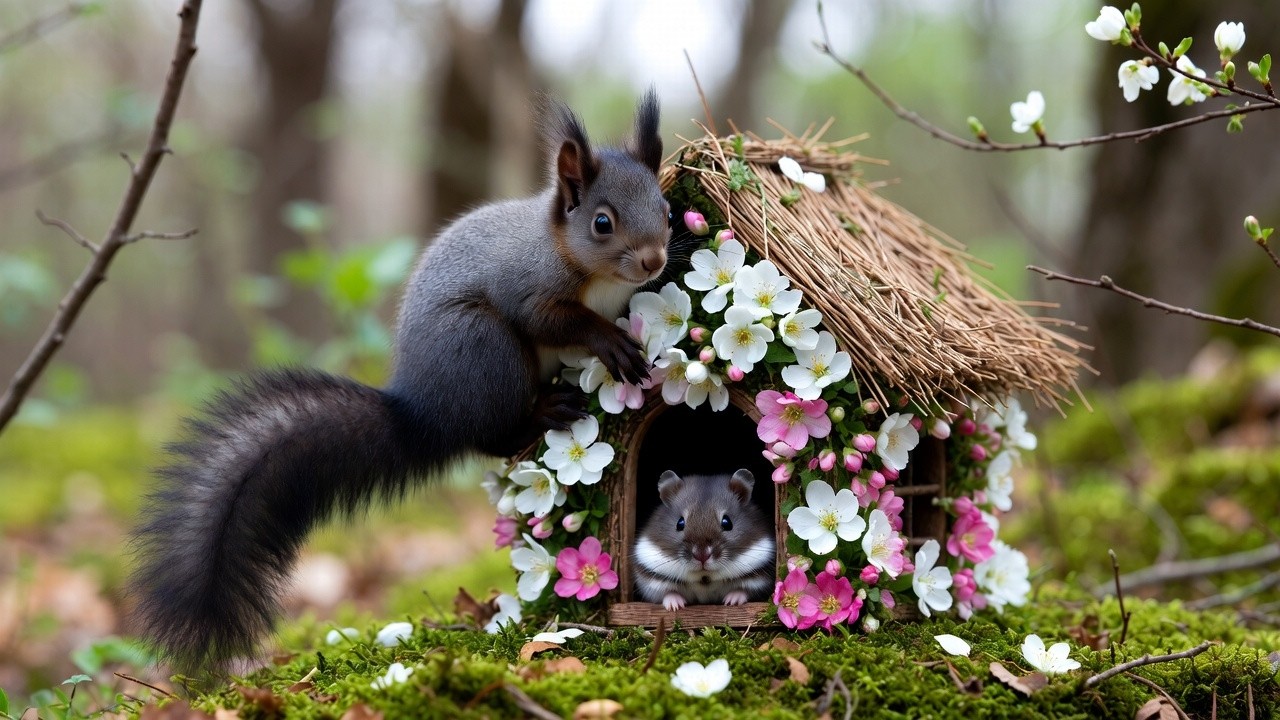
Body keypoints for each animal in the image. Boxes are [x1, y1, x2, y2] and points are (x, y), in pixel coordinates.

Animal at [130, 91, 671, 672]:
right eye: (601, 223)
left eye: (665, 209)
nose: (653, 260)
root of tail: (422, 414)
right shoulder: (530, 287)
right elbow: (554, 320)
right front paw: (609, 342)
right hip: (483, 348)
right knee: (490, 434)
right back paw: (545, 411)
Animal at [632, 469, 776, 611]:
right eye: (680, 523)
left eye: (727, 522)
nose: (702, 557)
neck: (705, 577)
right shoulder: (653, 581)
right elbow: (668, 593)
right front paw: (675, 606)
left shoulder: (758, 580)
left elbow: (742, 591)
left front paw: (731, 602)